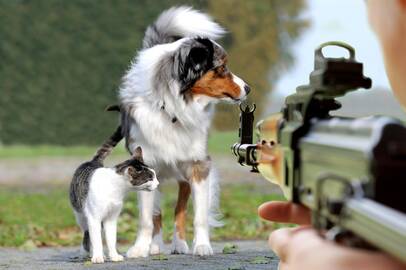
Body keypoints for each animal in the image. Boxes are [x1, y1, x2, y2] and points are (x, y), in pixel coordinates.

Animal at [70, 126, 159, 264]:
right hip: (81, 216)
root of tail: (93, 162)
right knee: (86, 234)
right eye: (150, 178)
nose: (158, 183)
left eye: (154, 175)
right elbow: (96, 239)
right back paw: (86, 253)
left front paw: (114, 256)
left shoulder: (111, 218)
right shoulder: (93, 217)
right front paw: (97, 257)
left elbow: (111, 239)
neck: (114, 189)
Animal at [117, 5, 251, 256]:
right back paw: (155, 245)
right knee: (157, 214)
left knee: (180, 208)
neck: (173, 107)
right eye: (222, 68)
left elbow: (198, 215)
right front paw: (140, 248)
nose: (248, 88)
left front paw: (202, 246)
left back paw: (179, 244)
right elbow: (147, 218)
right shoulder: (145, 164)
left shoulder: (198, 165)